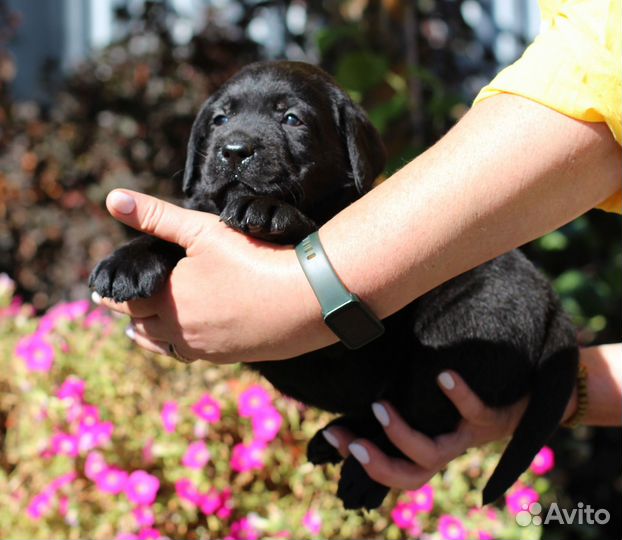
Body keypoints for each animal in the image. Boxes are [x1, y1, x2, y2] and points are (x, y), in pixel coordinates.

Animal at [91, 62, 580, 510]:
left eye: (292, 119)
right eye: (220, 119)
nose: (234, 150)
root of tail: (557, 310)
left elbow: (300, 226)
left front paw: (268, 210)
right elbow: (183, 223)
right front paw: (127, 261)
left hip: (463, 335)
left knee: (416, 414)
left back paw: (364, 474)